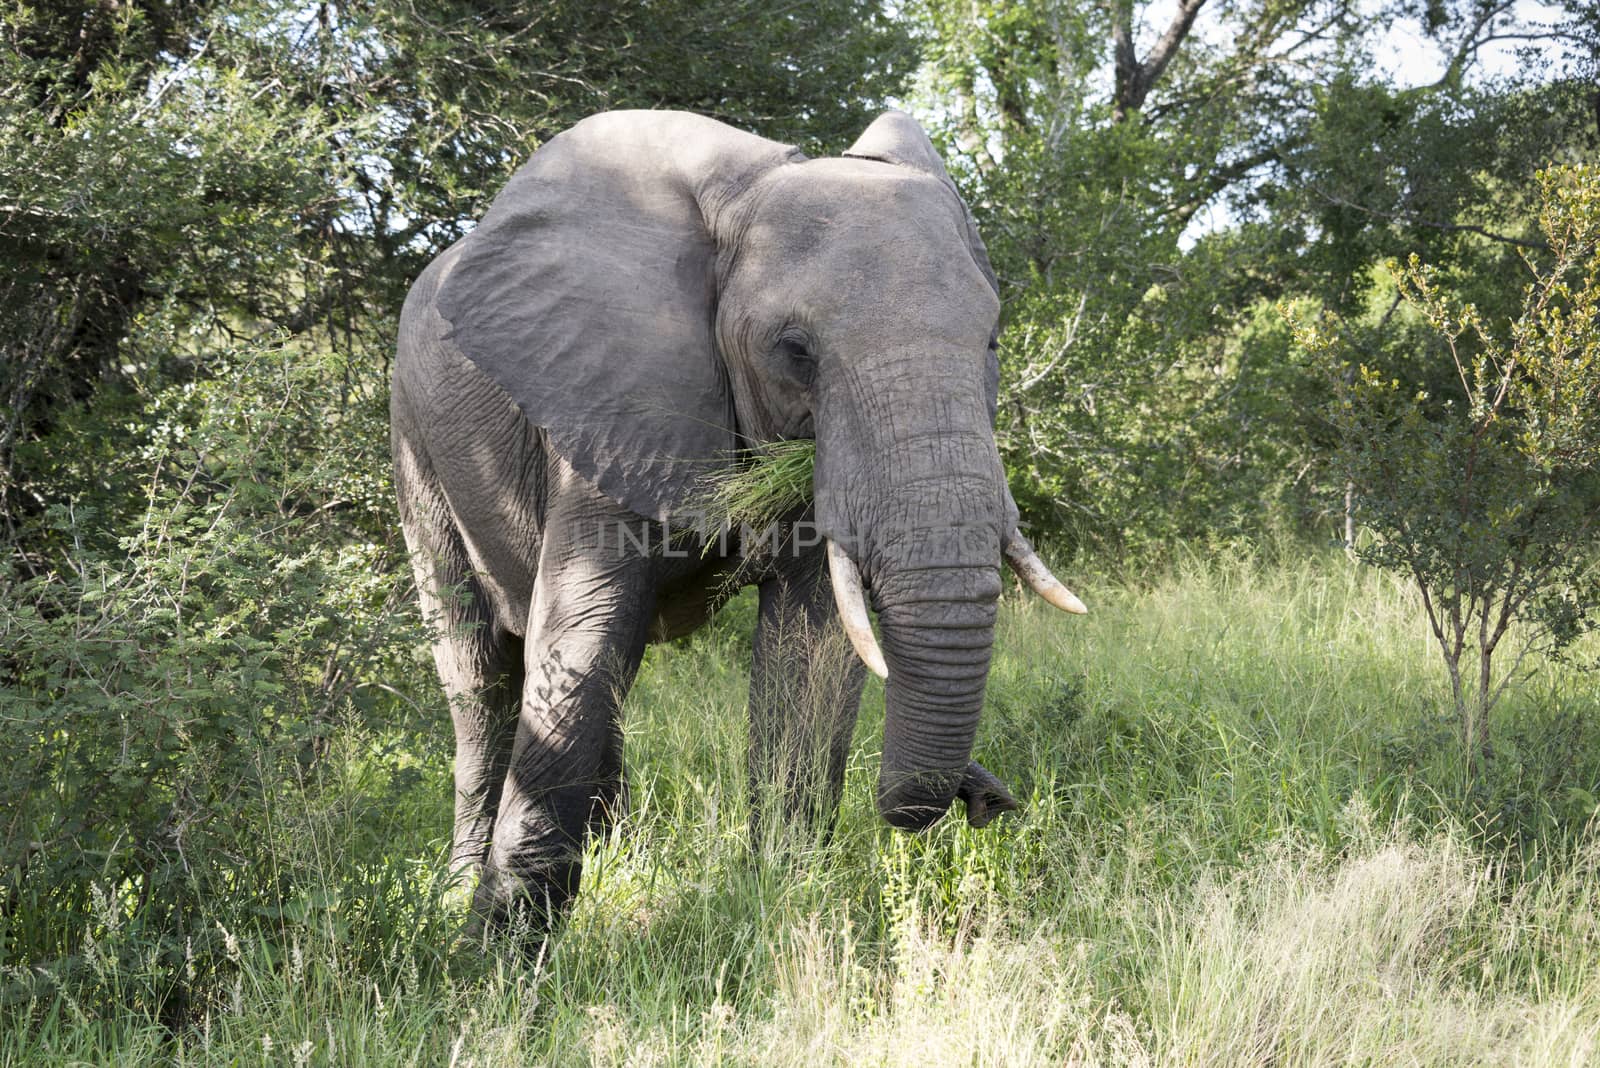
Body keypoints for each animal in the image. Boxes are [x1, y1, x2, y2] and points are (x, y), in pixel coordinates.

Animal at [390, 103, 1088, 927]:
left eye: (991, 341)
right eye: (794, 350)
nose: (985, 799)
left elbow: (811, 648)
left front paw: (783, 900)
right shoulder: (606, 399)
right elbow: (583, 631)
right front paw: (498, 941)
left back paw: (615, 852)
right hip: (414, 443)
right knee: (480, 676)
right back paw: (456, 889)